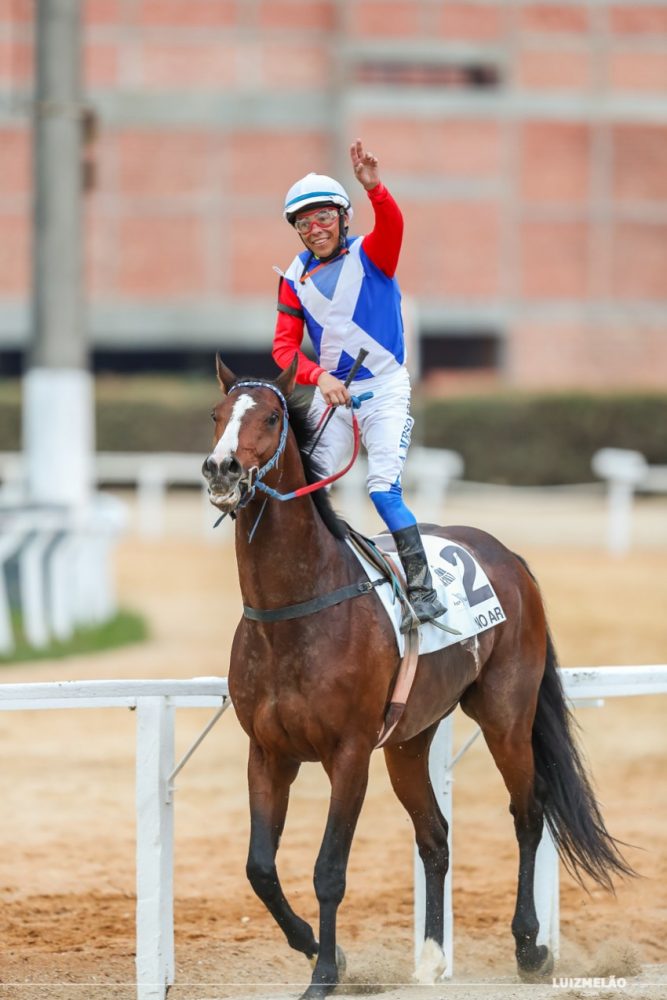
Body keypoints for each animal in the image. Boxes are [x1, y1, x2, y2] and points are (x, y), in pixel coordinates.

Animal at [202, 356, 632, 996]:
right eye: (217, 414)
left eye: (273, 417)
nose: (221, 469)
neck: (295, 610)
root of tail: (507, 555)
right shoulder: (268, 752)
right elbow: (259, 867)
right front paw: (317, 947)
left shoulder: (349, 753)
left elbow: (329, 869)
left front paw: (325, 973)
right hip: (409, 741)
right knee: (435, 836)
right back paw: (431, 958)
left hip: (505, 714)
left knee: (528, 813)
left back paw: (530, 947)